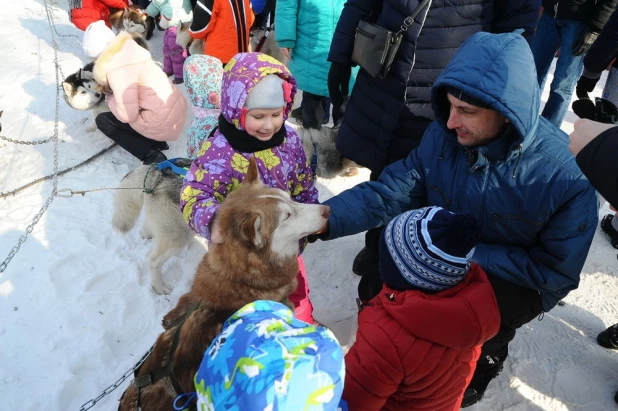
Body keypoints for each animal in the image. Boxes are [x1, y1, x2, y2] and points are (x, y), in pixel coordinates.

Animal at [115, 157, 328, 408]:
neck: (240, 281)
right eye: (286, 216)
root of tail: (159, 169)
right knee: (153, 259)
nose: (326, 210)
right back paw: (159, 285)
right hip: (178, 235)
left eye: (290, 197)